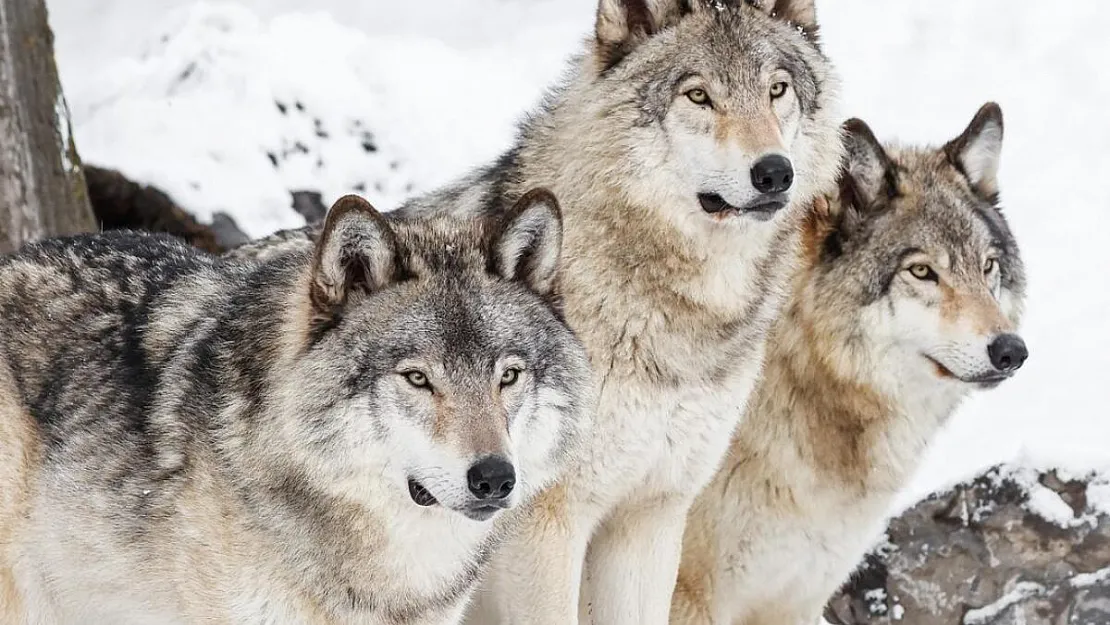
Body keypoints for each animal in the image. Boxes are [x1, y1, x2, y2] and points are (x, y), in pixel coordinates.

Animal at [225, 1, 839, 621]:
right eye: (698, 96)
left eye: (777, 90)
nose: (774, 172)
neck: (679, 323)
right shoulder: (547, 518)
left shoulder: (652, 513)